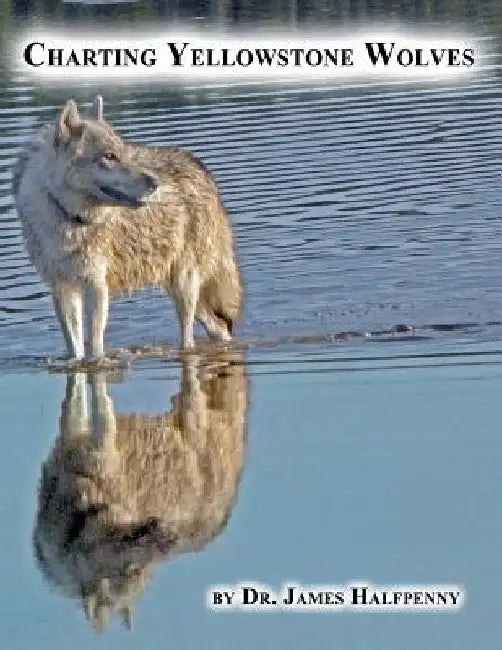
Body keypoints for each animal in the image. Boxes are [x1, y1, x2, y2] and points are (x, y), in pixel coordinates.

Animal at [13, 96, 242, 359]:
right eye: (110, 156)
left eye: (122, 152)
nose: (155, 183)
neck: (66, 217)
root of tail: (199, 166)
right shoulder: (62, 289)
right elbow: (75, 348)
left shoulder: (96, 286)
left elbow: (95, 345)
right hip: (176, 286)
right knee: (219, 327)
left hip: (185, 286)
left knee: (190, 338)